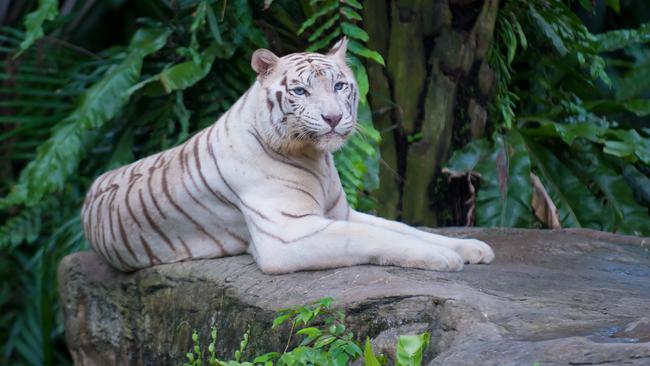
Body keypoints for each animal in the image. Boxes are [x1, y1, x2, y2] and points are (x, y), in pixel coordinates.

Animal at [83, 39, 494, 274]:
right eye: (299, 91)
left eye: (340, 85)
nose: (333, 118)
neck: (317, 159)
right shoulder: (288, 233)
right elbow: (372, 236)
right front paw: (441, 258)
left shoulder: (340, 213)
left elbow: (403, 227)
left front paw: (471, 247)